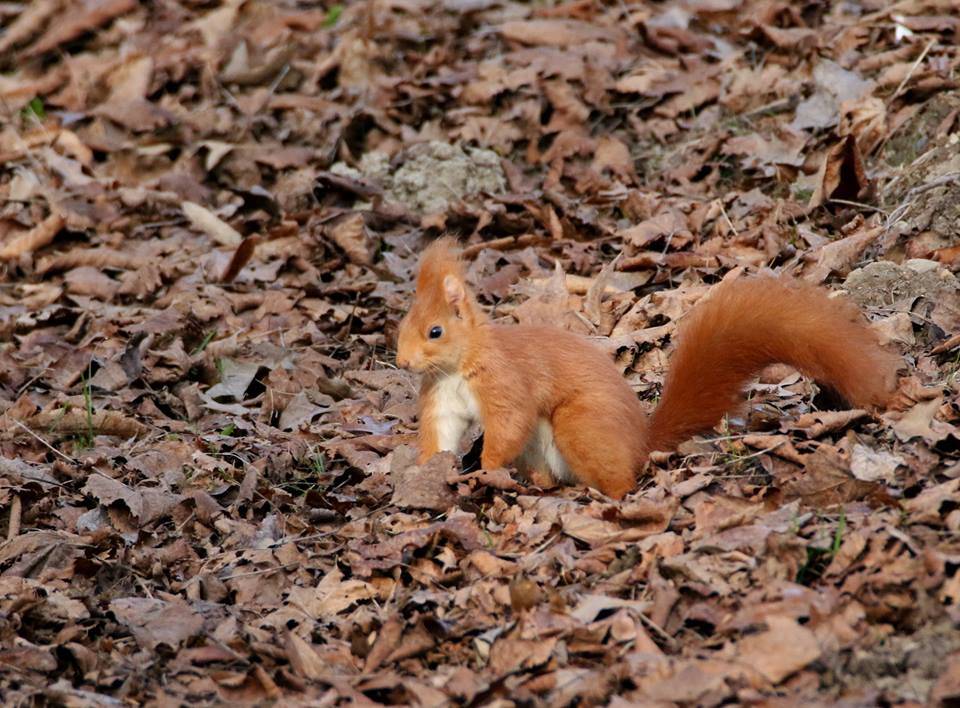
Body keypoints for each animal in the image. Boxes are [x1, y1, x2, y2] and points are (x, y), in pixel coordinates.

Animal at [396, 238, 900, 498]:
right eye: (400, 325)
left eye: (435, 331)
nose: (402, 362)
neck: (458, 366)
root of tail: (641, 444)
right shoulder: (442, 398)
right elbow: (441, 434)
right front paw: (425, 472)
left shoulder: (505, 381)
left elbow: (509, 423)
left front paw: (485, 469)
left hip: (581, 425)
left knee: (619, 481)